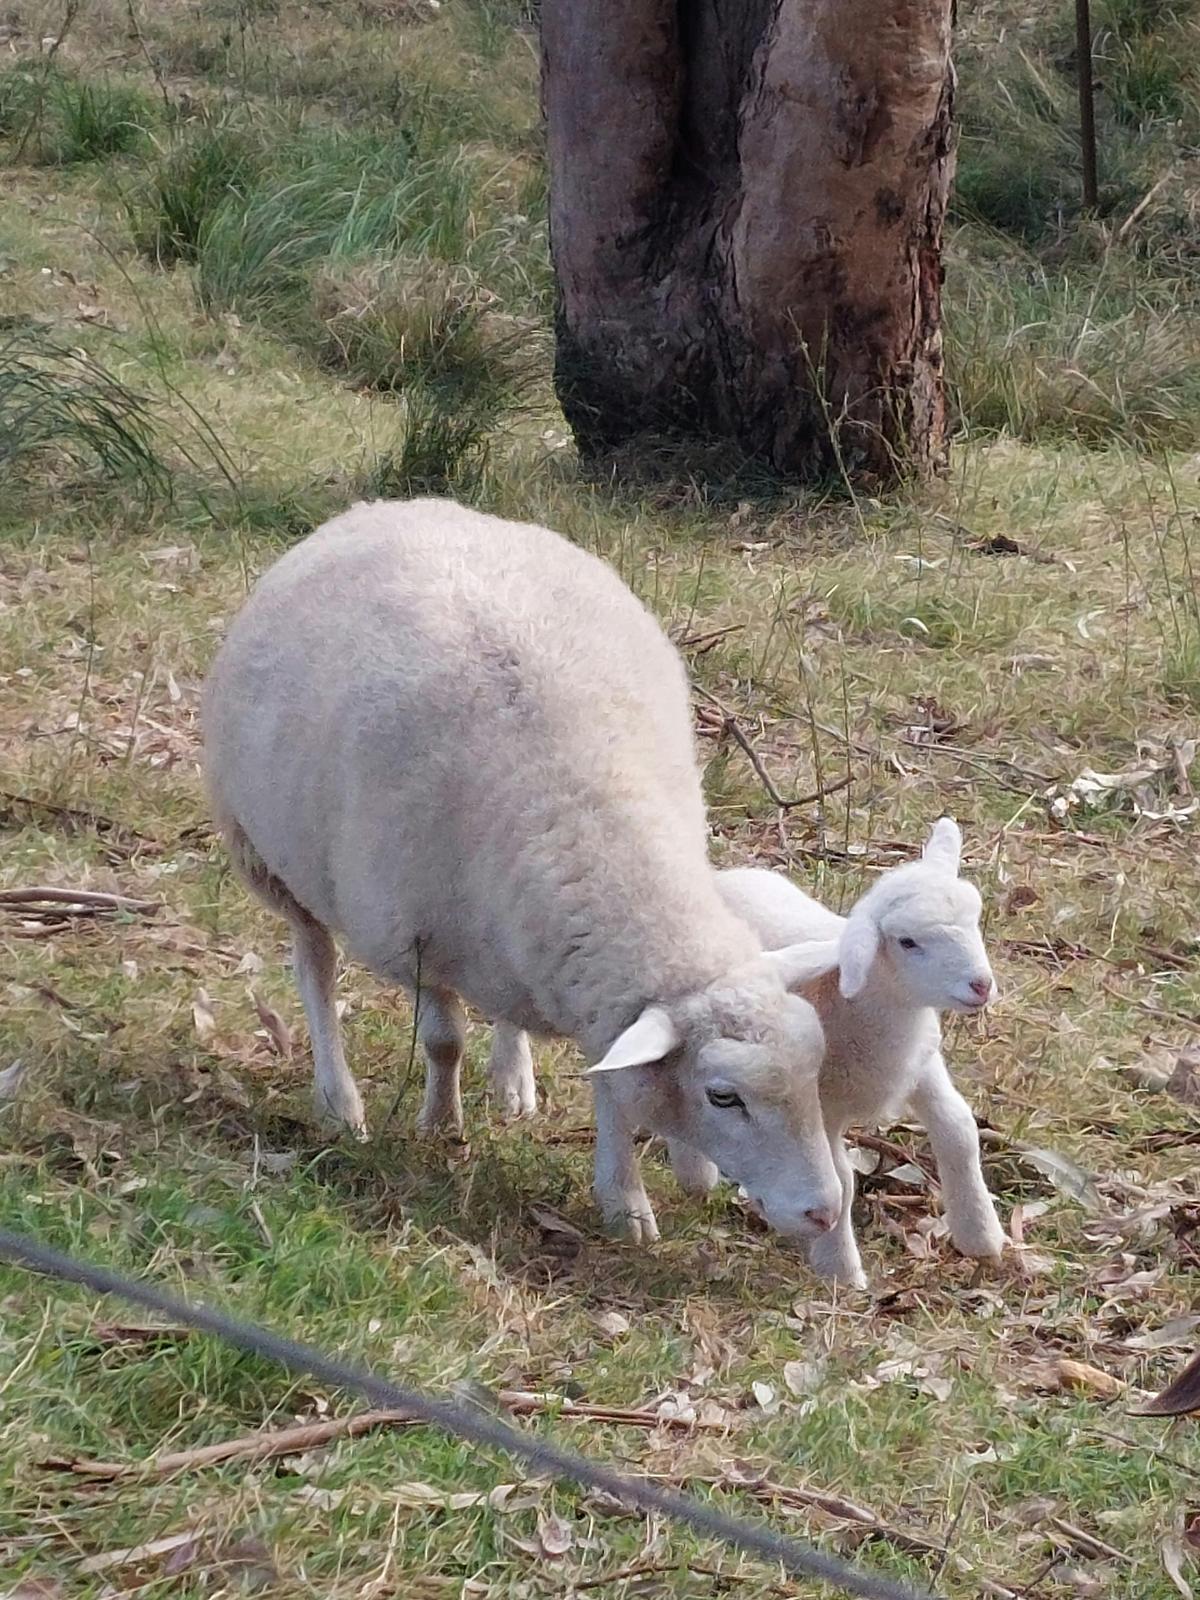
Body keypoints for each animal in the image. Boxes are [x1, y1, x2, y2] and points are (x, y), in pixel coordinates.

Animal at [202, 497, 843, 1247]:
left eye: (814, 1068)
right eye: (724, 1096)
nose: (825, 1210)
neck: (593, 819)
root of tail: (392, 504)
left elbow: (614, 1086)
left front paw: (630, 1195)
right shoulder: (407, 941)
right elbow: (444, 1041)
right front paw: (439, 1125)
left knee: (505, 1003)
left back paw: (513, 1081)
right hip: (273, 859)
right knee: (316, 968)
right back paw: (340, 1100)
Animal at [714, 818, 1007, 1286]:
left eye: (974, 920)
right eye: (907, 942)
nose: (981, 985)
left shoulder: (920, 1066)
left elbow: (959, 1132)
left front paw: (982, 1236)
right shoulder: (819, 1103)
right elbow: (840, 1179)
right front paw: (841, 1271)